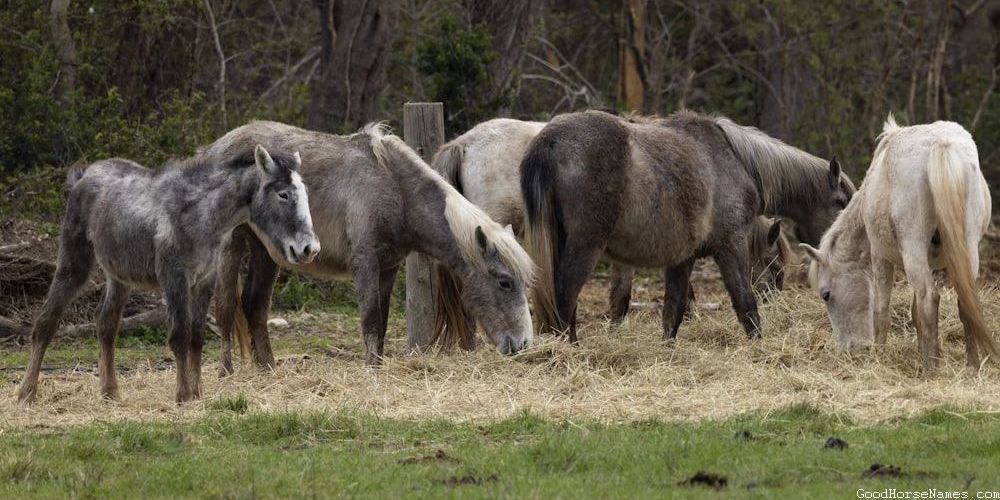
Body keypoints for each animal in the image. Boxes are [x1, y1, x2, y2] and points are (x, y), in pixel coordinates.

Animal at [16, 146, 317, 404]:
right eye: (283, 194)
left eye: (304, 192)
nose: (309, 249)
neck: (202, 216)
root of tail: (83, 176)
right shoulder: (174, 278)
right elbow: (179, 335)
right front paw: (183, 394)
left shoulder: (204, 280)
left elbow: (196, 336)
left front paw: (197, 391)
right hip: (74, 264)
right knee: (45, 322)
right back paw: (26, 393)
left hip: (119, 278)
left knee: (105, 326)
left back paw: (110, 392)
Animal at [201, 121, 536, 371]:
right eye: (505, 282)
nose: (523, 344)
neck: (395, 189)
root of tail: (213, 149)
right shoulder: (364, 263)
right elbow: (370, 320)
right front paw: (370, 370)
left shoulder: (387, 267)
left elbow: (382, 323)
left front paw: (377, 366)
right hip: (232, 244)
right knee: (227, 307)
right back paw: (227, 372)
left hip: (267, 250)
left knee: (255, 306)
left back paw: (267, 370)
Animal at [521, 110, 854, 342]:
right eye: (841, 204)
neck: (736, 161)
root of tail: (549, 140)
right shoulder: (731, 246)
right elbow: (744, 303)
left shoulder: (684, 258)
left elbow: (674, 308)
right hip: (585, 247)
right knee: (564, 297)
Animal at [801, 115, 998, 372]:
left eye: (826, 294)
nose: (850, 350)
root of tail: (941, 144)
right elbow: (915, 312)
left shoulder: (880, 258)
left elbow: (882, 310)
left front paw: (879, 357)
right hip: (966, 249)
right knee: (964, 300)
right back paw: (971, 366)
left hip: (913, 248)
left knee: (929, 299)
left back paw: (930, 370)